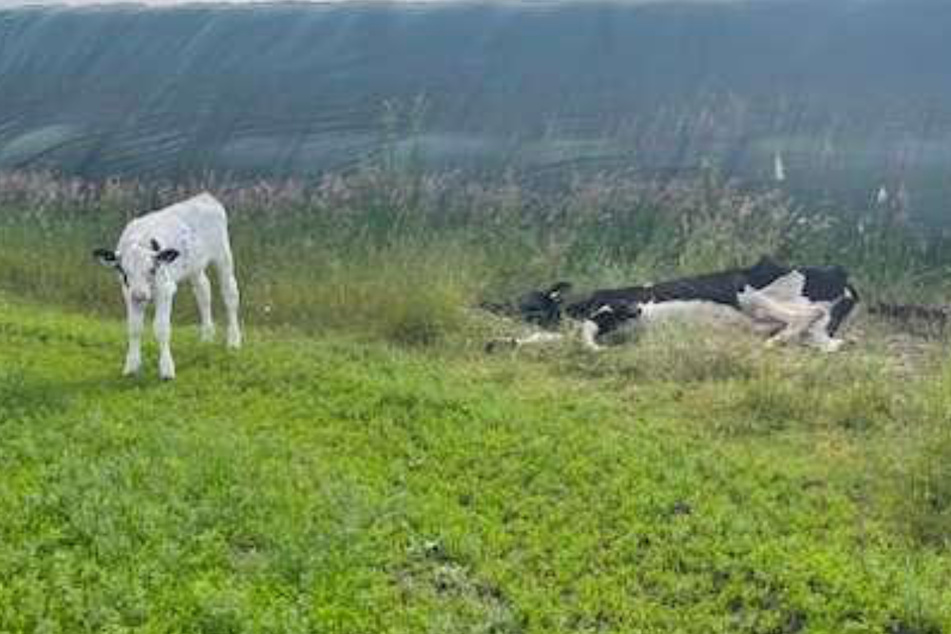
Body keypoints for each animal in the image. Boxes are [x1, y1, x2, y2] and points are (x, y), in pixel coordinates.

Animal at [94, 193, 242, 378]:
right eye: (123, 271)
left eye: (152, 269)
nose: (140, 295)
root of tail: (205, 196)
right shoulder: (128, 294)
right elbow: (134, 328)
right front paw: (131, 366)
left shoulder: (165, 290)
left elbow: (161, 328)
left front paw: (166, 369)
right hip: (195, 266)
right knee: (203, 291)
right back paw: (207, 336)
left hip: (223, 255)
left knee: (230, 294)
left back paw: (234, 341)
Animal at [488, 260, 860, 354]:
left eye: (530, 302)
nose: (492, 305)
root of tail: (839, 273)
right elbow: (546, 339)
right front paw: (504, 342)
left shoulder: (624, 305)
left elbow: (585, 331)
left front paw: (596, 350)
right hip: (817, 332)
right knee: (832, 343)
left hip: (744, 291)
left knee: (804, 316)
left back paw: (770, 343)